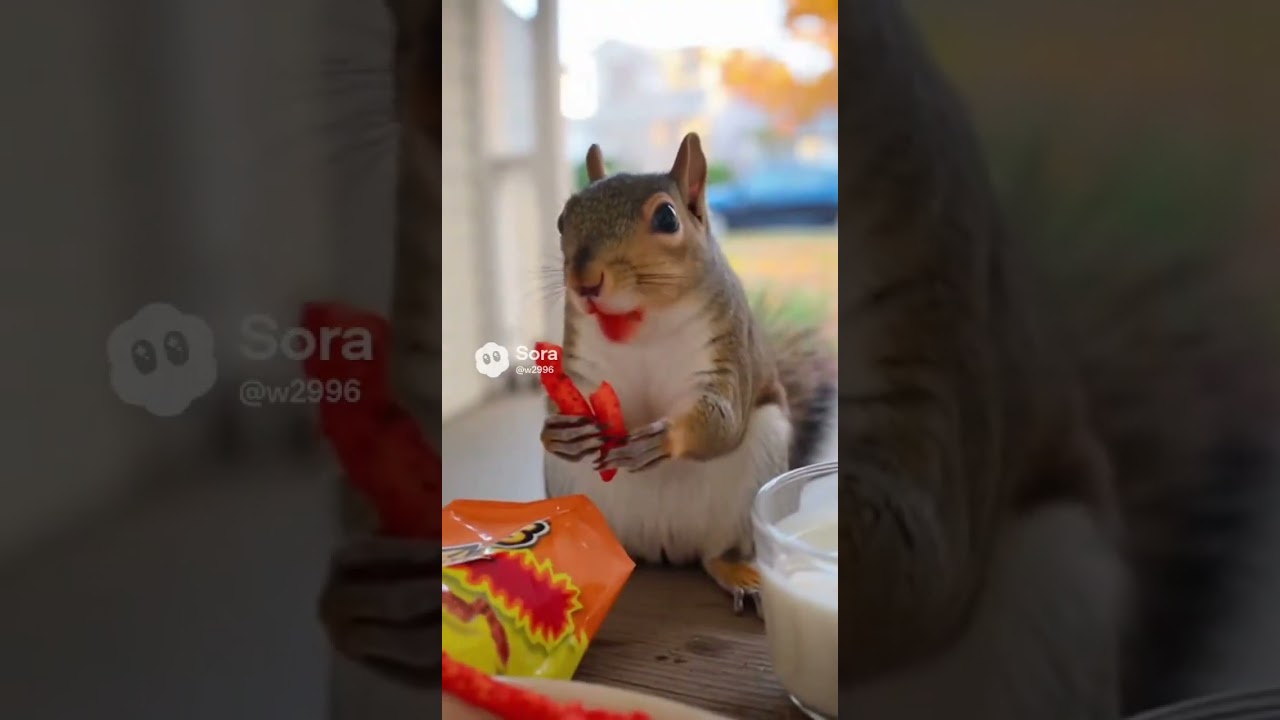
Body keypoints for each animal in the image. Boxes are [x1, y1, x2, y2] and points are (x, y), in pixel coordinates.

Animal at [540, 135, 835, 611]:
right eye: (563, 218)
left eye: (666, 217)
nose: (585, 281)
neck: (640, 322)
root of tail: (660, 547)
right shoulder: (582, 369)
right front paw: (560, 432)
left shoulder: (727, 353)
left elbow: (723, 419)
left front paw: (663, 438)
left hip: (750, 485)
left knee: (717, 553)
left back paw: (740, 575)